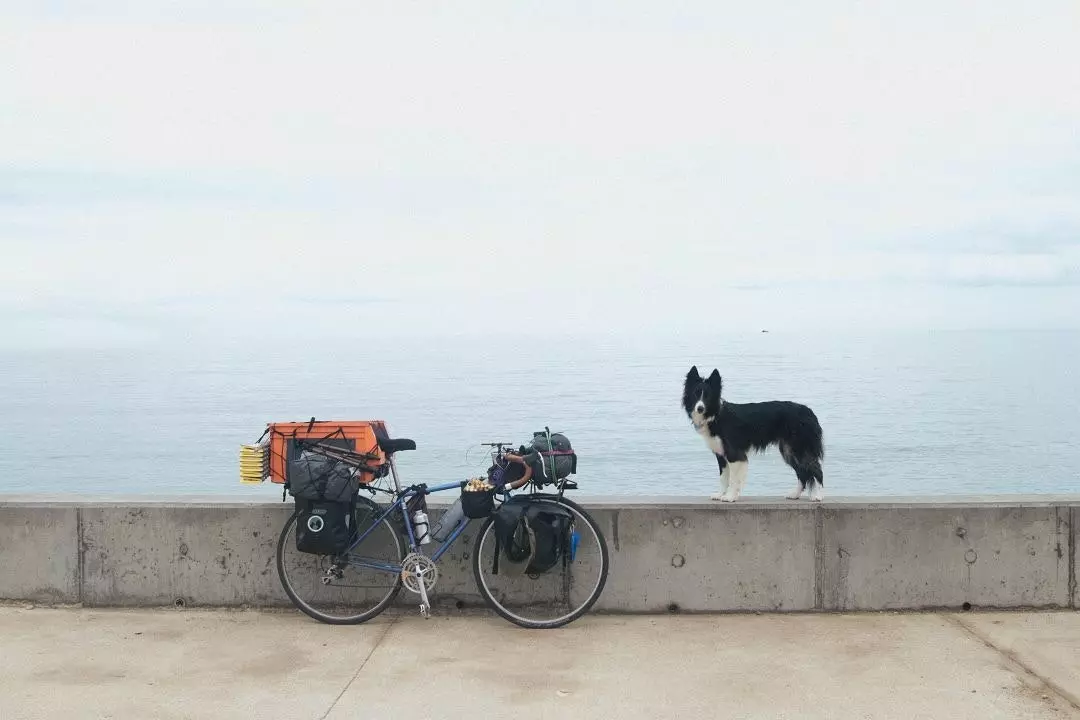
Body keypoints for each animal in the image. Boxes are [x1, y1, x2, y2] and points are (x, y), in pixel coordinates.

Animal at [682, 367, 825, 500]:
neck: (716, 415)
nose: (700, 408)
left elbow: (733, 478)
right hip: (788, 450)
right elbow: (723, 477)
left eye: (708, 396)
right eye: (695, 394)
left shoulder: (734, 453)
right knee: (802, 473)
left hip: (799, 447)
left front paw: (729, 497)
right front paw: (720, 494)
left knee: (815, 469)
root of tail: (809, 412)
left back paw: (818, 496)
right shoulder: (721, 453)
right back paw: (795, 494)